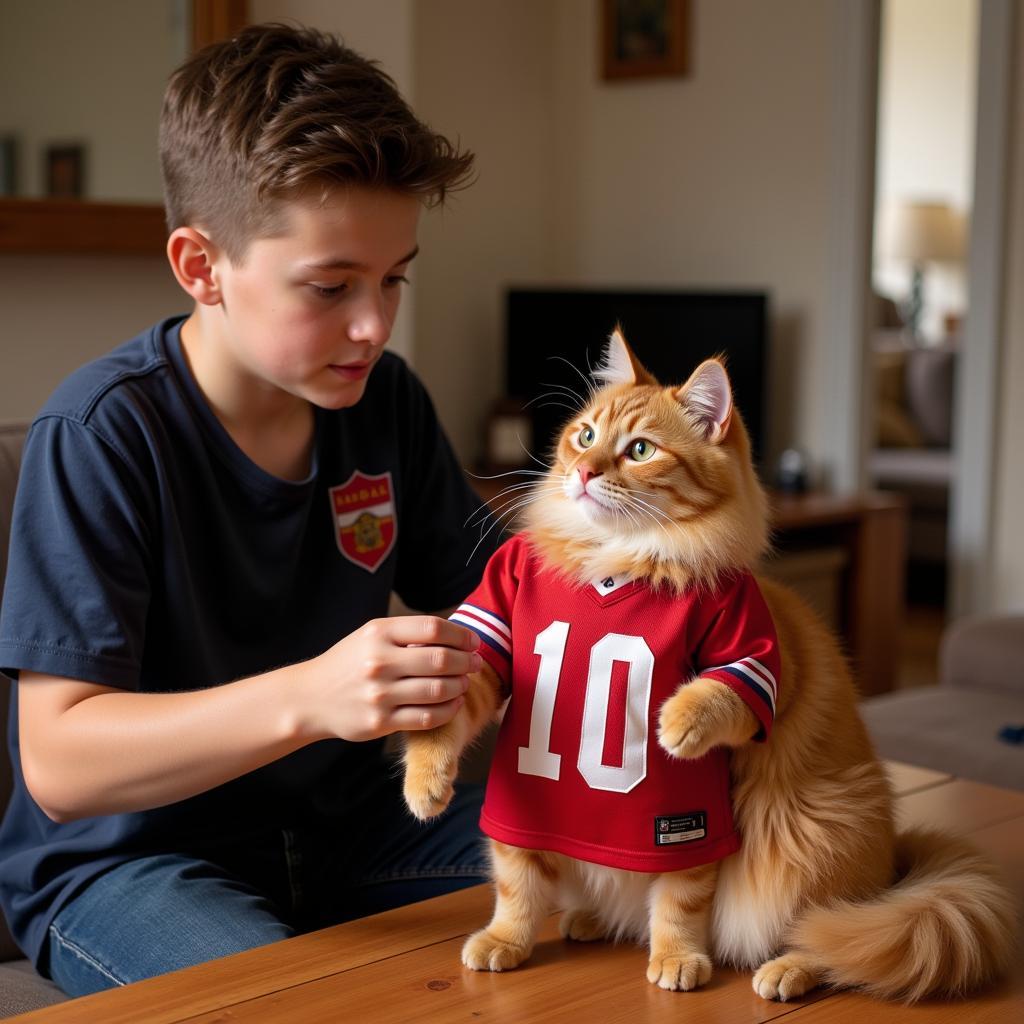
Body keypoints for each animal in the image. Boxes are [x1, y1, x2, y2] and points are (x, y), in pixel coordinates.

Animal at [401, 327, 1015, 999]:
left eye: (640, 450)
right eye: (585, 437)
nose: (584, 473)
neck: (617, 556)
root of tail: (893, 861)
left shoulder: (743, 685)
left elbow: (681, 894)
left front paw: (677, 956)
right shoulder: (491, 657)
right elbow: (509, 876)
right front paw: (440, 816)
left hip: (814, 838)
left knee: (834, 936)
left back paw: (785, 969)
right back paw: (591, 920)